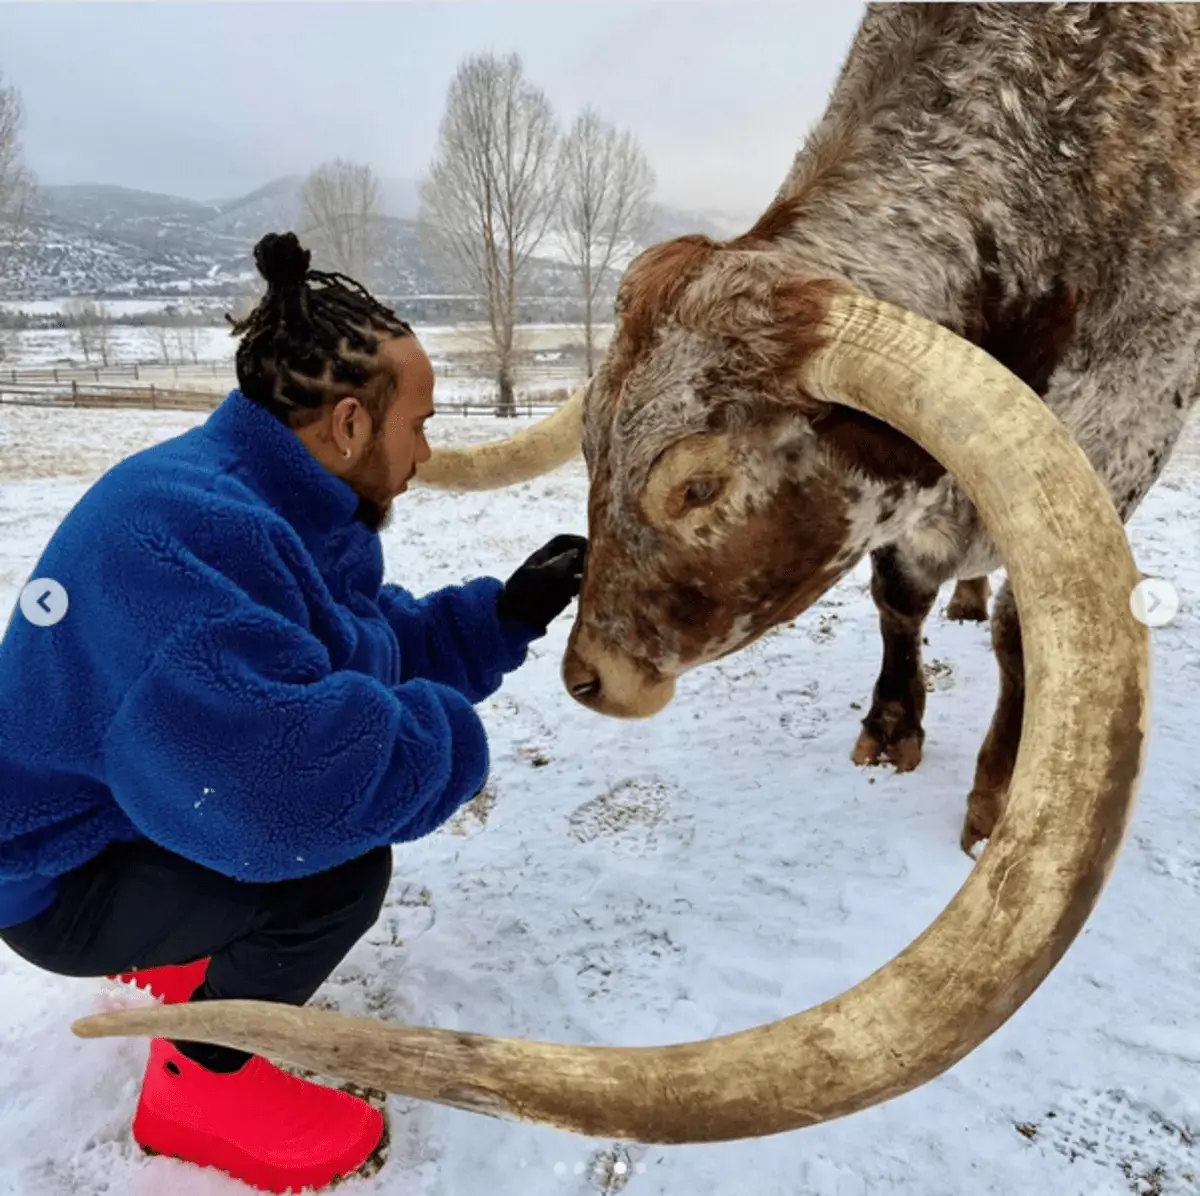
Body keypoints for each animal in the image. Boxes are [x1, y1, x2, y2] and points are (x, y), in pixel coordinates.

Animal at [68, 0, 1174, 1152]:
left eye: (696, 485)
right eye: (592, 447)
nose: (587, 678)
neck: (1055, 131)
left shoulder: (1124, 429)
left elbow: (1022, 639)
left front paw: (992, 795)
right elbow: (896, 598)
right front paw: (890, 725)